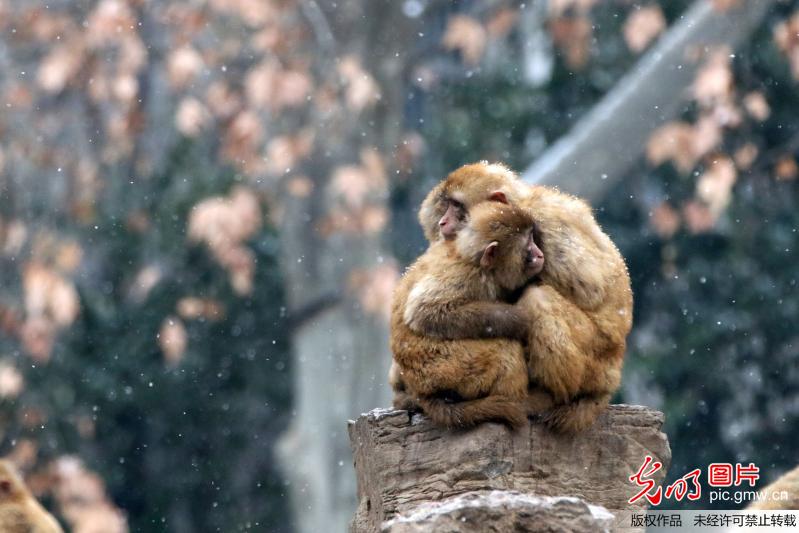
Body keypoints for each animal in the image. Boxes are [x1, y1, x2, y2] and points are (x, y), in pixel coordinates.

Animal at [390, 201, 548, 428]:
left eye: (533, 238)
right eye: (528, 243)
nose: (539, 253)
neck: (482, 264)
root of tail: (420, 391)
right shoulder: (467, 275)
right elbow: (424, 311)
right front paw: (520, 320)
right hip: (445, 370)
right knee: (504, 348)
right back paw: (522, 402)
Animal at [410, 161, 636, 432]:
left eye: (457, 207)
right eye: (447, 207)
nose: (443, 222)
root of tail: (614, 369)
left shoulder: (544, 225)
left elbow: (591, 288)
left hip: (597, 357)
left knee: (539, 297)